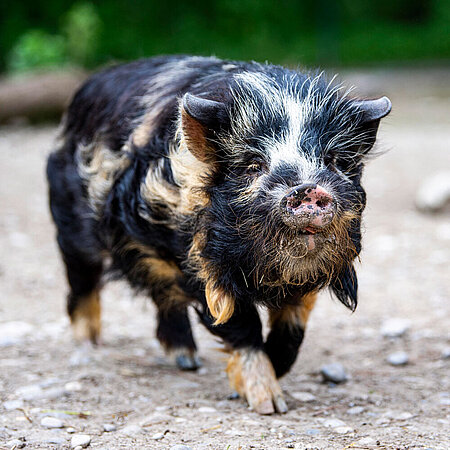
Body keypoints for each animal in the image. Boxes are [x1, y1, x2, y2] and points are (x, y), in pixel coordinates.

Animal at [46, 55, 390, 414]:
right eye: (253, 164)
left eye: (333, 161)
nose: (308, 189)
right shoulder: (198, 261)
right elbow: (240, 321)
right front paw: (270, 405)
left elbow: (293, 326)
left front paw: (278, 371)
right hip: (70, 221)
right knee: (82, 277)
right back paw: (89, 344)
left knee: (162, 294)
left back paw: (186, 360)